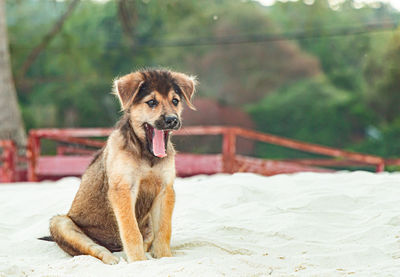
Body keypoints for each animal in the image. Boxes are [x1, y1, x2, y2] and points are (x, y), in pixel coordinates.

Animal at [48, 69, 197, 264]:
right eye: (151, 102)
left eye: (175, 101)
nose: (172, 120)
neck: (146, 154)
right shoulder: (123, 189)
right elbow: (131, 231)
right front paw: (138, 261)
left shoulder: (165, 190)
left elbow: (164, 231)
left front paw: (165, 257)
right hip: (61, 223)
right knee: (96, 249)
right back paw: (112, 258)